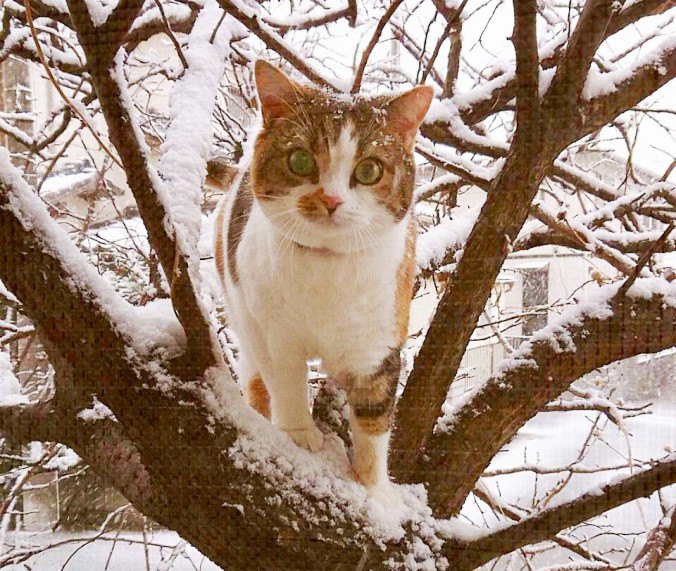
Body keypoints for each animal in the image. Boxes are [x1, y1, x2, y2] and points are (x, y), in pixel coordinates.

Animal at [215, 60, 434, 498]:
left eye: (369, 170)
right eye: (300, 160)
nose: (331, 200)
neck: (327, 271)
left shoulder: (377, 343)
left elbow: (373, 420)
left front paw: (374, 491)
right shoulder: (274, 333)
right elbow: (285, 381)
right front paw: (300, 434)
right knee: (256, 378)